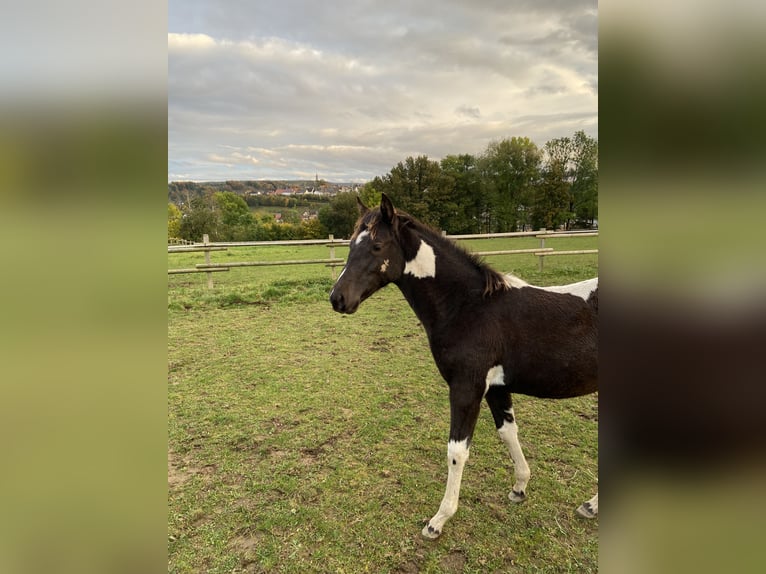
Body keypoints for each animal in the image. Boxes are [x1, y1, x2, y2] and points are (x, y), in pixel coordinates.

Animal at [330, 193, 598, 539]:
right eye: (351, 244)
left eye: (377, 246)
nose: (338, 298)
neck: (468, 307)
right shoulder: (496, 387)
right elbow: (508, 432)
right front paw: (519, 487)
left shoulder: (466, 388)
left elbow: (457, 451)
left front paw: (439, 520)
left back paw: (591, 506)